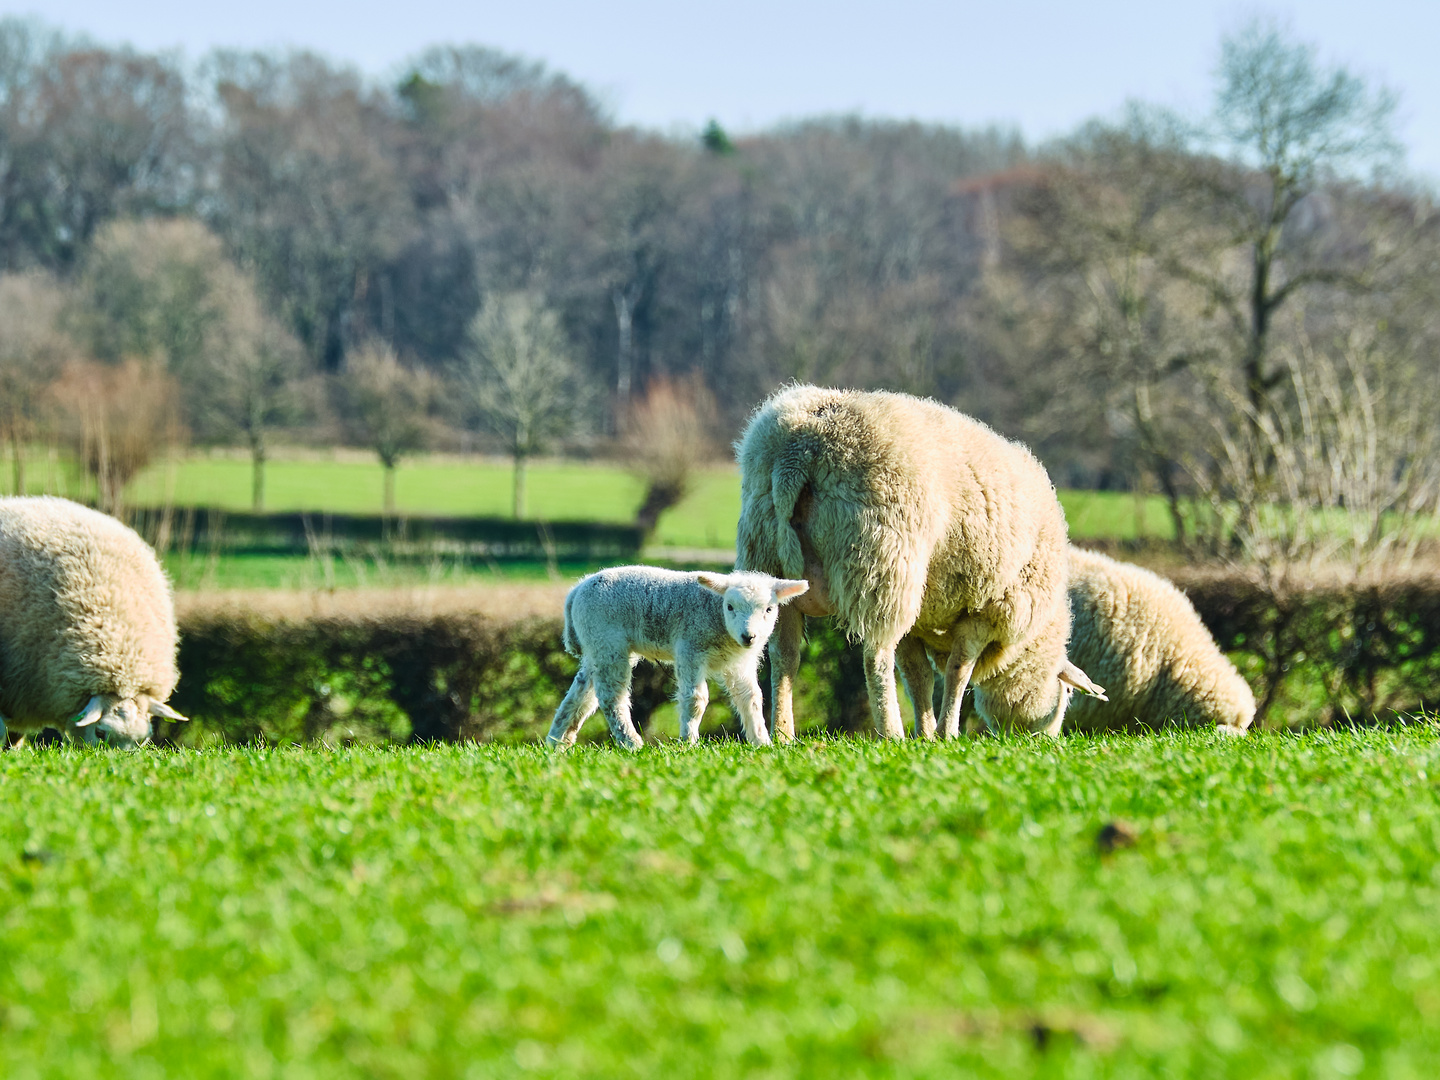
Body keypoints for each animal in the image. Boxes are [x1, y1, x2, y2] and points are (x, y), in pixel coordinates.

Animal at [544, 567, 812, 754]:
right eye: (729, 607)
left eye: (769, 609)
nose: (749, 636)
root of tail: (578, 588)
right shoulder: (690, 649)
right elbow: (696, 699)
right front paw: (689, 742)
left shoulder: (740, 664)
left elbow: (751, 698)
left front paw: (762, 742)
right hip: (607, 641)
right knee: (611, 697)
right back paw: (632, 743)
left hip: (595, 645)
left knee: (581, 694)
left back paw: (557, 741)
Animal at [737, 385, 1105, 748]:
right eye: (1067, 691)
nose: (1048, 741)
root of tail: (797, 451)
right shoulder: (983, 611)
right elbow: (958, 672)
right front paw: (946, 733)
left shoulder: (920, 617)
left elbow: (918, 675)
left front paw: (926, 734)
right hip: (883, 564)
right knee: (875, 658)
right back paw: (890, 732)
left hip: (768, 555)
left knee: (784, 656)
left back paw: (782, 734)